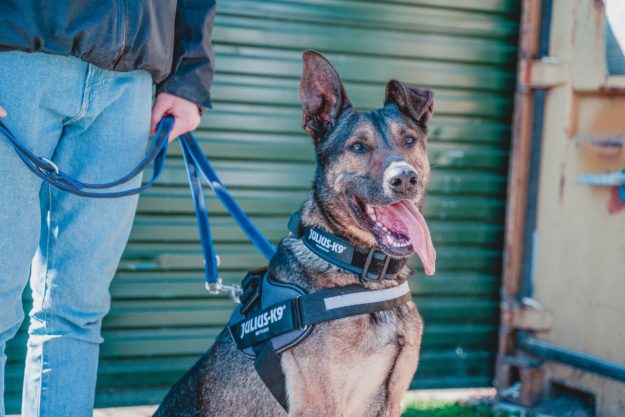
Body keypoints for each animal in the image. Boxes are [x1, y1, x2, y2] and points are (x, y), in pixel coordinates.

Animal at [153, 50, 436, 417]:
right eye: (358, 147)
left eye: (409, 140)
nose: (404, 178)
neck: (358, 269)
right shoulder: (320, 404)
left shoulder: (392, 402)